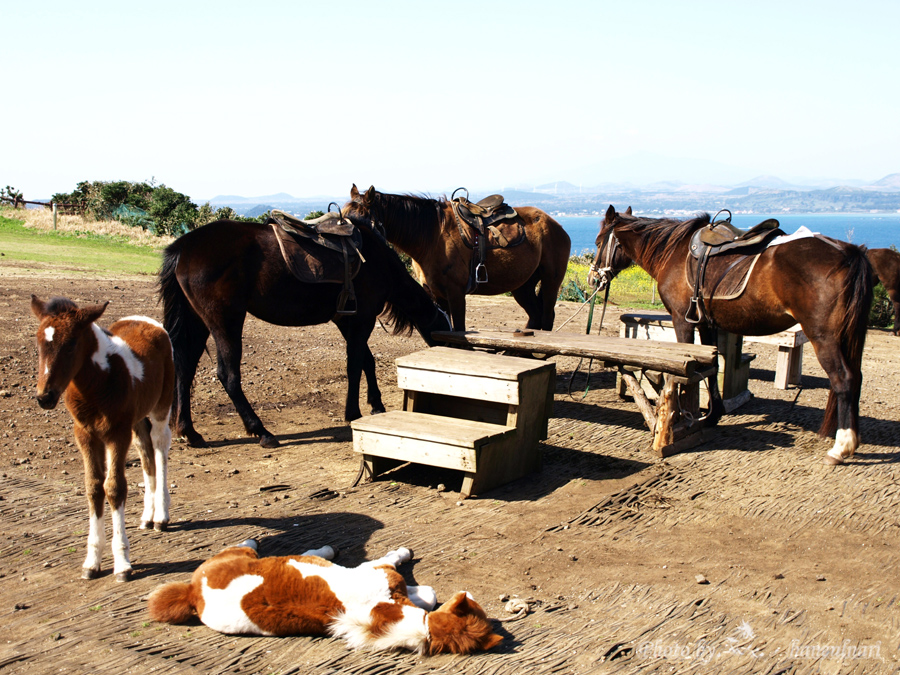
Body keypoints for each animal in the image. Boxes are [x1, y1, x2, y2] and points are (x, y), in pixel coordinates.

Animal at [29, 298, 173, 584]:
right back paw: (147, 516)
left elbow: (115, 488)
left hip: (160, 407)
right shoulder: (86, 435)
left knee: (160, 447)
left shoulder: (117, 433)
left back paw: (161, 516)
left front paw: (122, 564)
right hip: (136, 421)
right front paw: (91, 562)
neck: (96, 385)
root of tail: (147, 321)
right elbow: (94, 487)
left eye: (71, 343)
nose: (45, 397)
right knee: (146, 453)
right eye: (39, 342)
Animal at [144, 540, 502, 656]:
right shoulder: (376, 568)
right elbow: (401, 564)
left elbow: (426, 594)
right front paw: (406, 555)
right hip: (239, 554)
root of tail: (192, 591)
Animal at [158, 219, 450, 448]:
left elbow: (366, 361)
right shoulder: (362, 321)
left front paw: (376, 404)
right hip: (225, 323)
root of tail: (184, 247)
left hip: (198, 323)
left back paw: (190, 432)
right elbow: (355, 365)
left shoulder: (346, 322)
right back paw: (261, 431)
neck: (377, 261)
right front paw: (353, 412)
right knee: (227, 376)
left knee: (184, 369)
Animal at [344, 185, 568, 332]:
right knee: (535, 317)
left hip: (551, 281)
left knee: (546, 318)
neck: (433, 236)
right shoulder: (437, 294)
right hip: (522, 286)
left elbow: (459, 330)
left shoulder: (456, 293)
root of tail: (554, 223)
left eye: (362, 221)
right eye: (342, 217)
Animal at [592, 206, 872, 468]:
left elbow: (685, 375)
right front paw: (714, 414)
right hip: (847, 336)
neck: (673, 253)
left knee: (844, 380)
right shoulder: (706, 323)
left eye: (597, 242)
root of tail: (849, 252)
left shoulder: (683, 321)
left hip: (824, 336)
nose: (593, 277)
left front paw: (681, 417)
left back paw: (841, 446)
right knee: (856, 377)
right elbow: (712, 367)